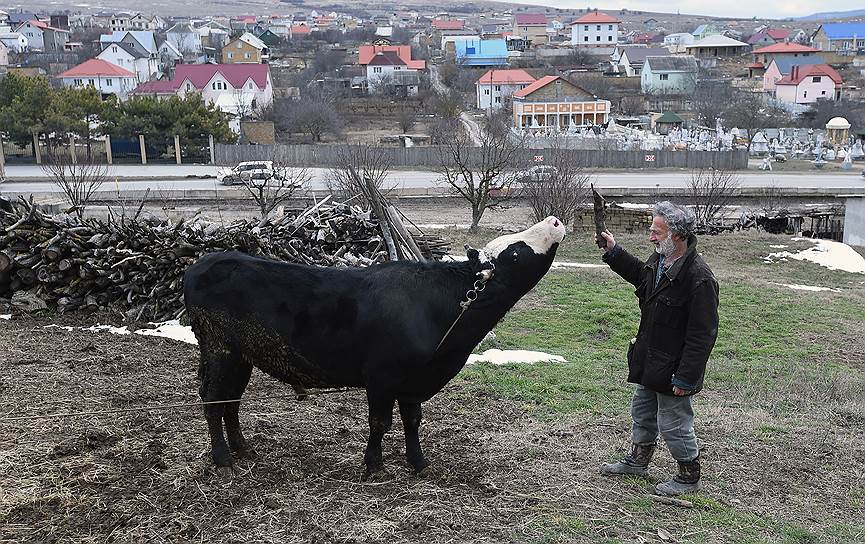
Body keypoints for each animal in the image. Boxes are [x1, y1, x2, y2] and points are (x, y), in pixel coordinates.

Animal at [185, 217, 564, 476]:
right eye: (515, 251)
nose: (554, 220)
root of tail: (204, 262)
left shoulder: (414, 382)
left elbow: (413, 421)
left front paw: (418, 462)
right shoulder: (382, 377)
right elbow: (380, 422)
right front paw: (374, 466)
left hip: (241, 356)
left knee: (231, 400)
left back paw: (242, 448)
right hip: (220, 350)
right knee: (214, 399)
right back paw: (223, 458)